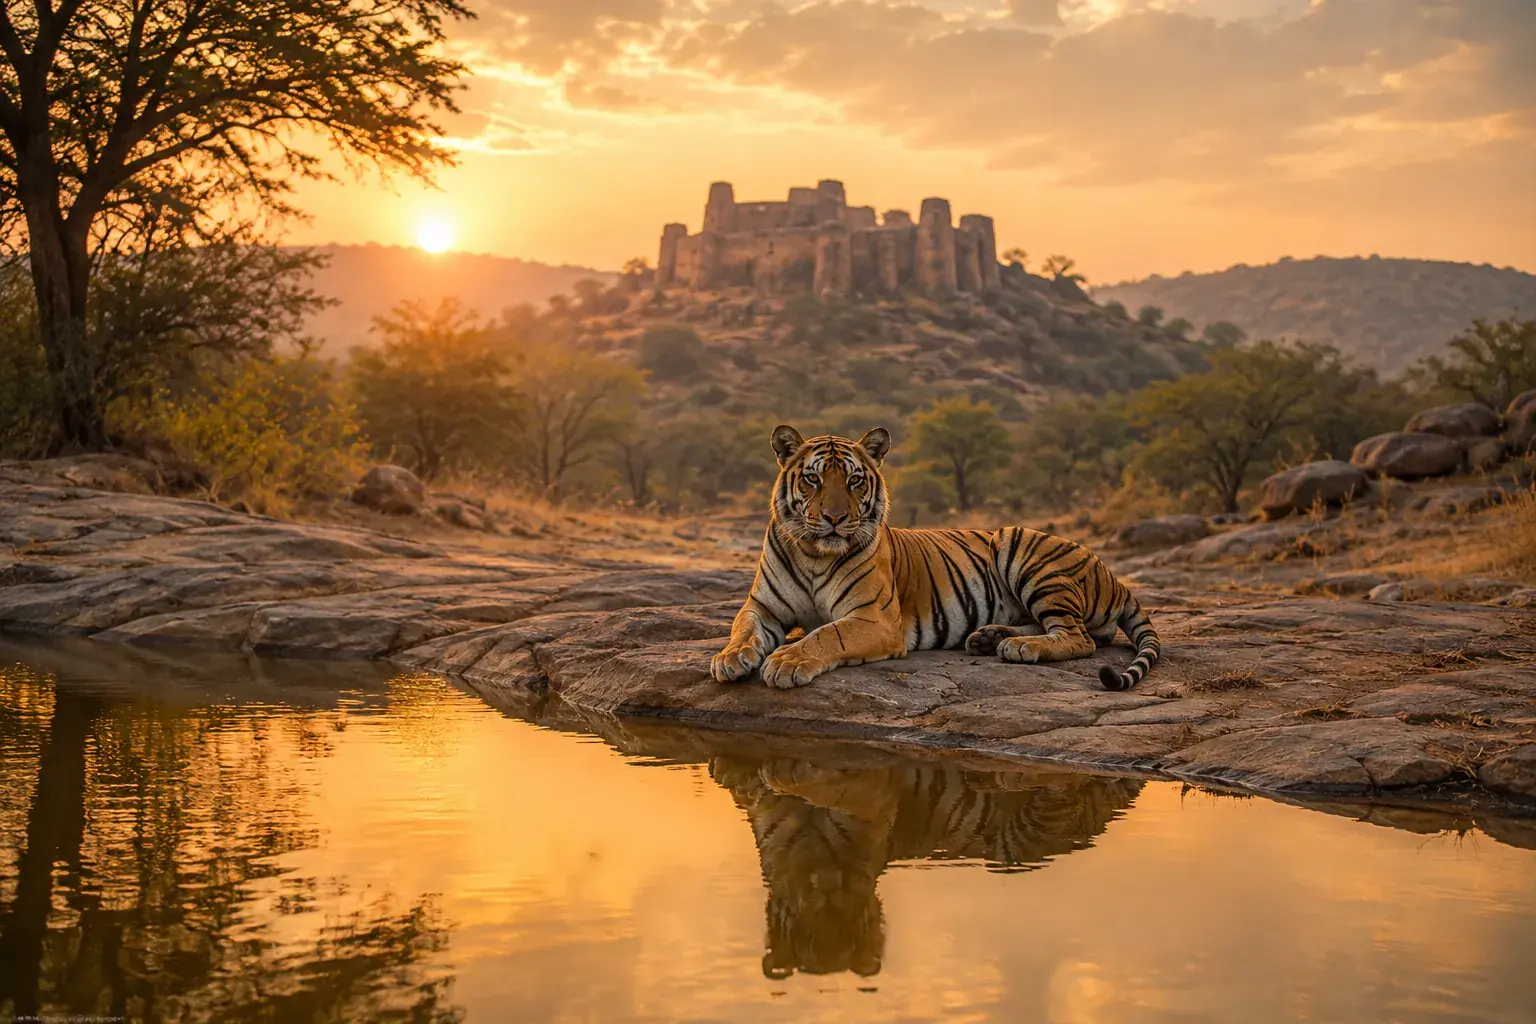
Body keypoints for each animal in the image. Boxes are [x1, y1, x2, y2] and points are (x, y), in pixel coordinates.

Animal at [710, 424, 1160, 691]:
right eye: (812, 479)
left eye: (854, 481)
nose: (835, 519)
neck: (813, 553)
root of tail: (1117, 579)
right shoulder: (762, 607)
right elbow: (742, 629)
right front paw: (730, 659)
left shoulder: (873, 618)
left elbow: (826, 634)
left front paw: (787, 661)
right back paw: (989, 637)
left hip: (1019, 544)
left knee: (1080, 637)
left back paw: (1018, 647)